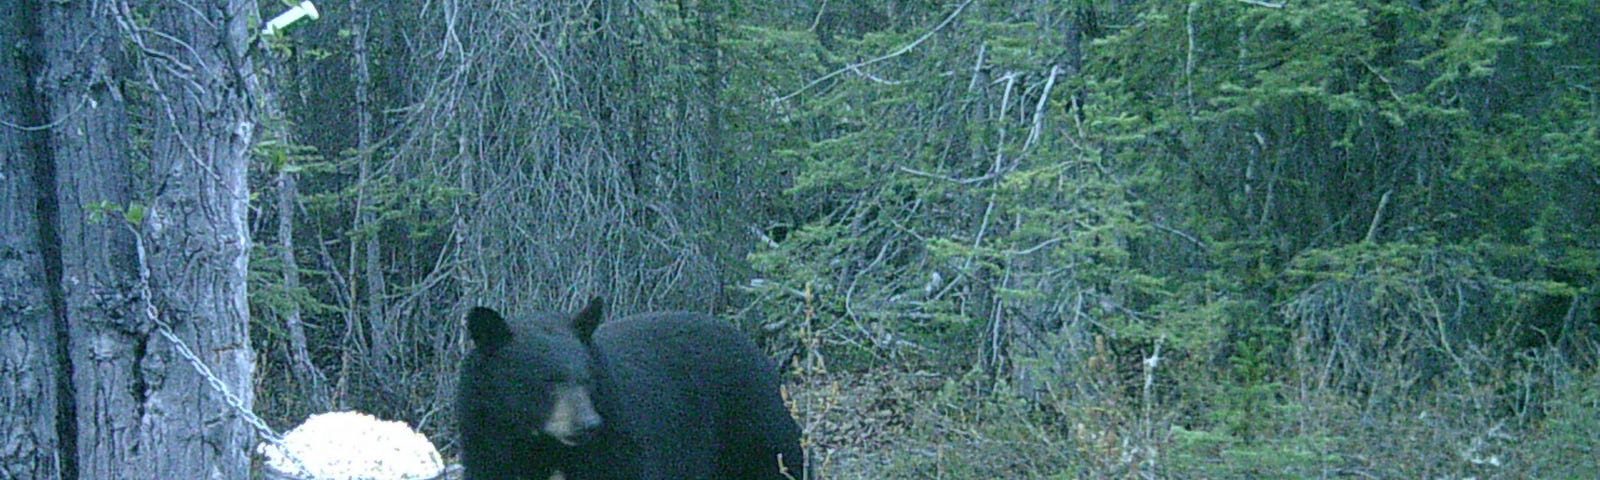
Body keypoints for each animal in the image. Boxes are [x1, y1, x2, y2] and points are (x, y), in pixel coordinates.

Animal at [460, 297, 806, 476]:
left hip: (750, 425)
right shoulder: (489, 446)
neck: (541, 445)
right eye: (546, 380)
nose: (588, 424)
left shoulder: (617, 444)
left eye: (587, 378)